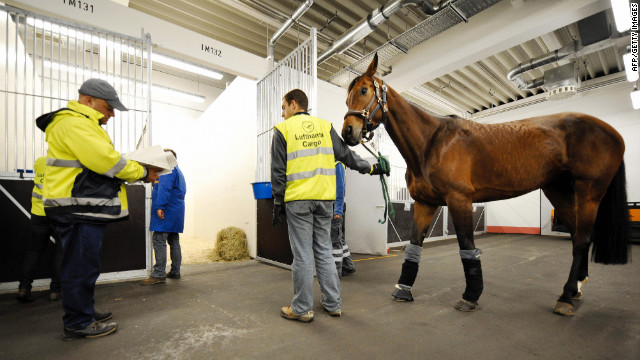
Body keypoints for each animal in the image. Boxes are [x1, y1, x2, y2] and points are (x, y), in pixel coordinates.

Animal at [342, 53, 628, 316]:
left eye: (364, 90)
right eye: (346, 98)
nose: (348, 132)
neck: (432, 143)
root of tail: (614, 133)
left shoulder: (459, 200)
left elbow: (467, 247)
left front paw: (470, 296)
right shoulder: (424, 203)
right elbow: (413, 246)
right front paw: (403, 289)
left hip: (588, 192)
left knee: (582, 239)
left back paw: (566, 297)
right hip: (558, 192)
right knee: (578, 237)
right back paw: (576, 288)